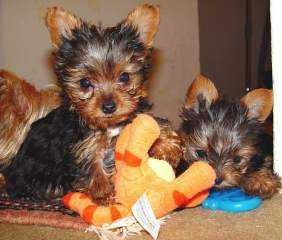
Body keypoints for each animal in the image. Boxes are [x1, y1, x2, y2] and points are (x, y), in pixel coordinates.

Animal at [3, 4, 183, 203]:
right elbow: (93, 169)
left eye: (124, 77)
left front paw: (167, 146)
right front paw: (104, 195)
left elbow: (154, 124)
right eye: (84, 83)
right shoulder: (83, 146)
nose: (109, 107)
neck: (110, 125)